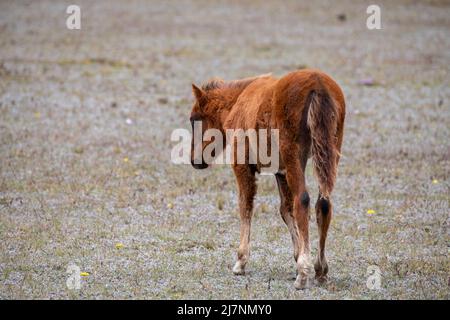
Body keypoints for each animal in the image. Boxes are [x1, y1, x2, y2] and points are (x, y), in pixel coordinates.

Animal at [188, 69, 346, 288]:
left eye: (194, 119)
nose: (194, 160)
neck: (239, 101)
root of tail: (318, 84)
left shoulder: (242, 165)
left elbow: (245, 206)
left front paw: (241, 261)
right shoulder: (280, 171)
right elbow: (285, 210)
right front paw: (297, 255)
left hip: (294, 155)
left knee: (303, 200)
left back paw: (303, 274)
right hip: (330, 152)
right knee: (323, 204)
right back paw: (320, 268)